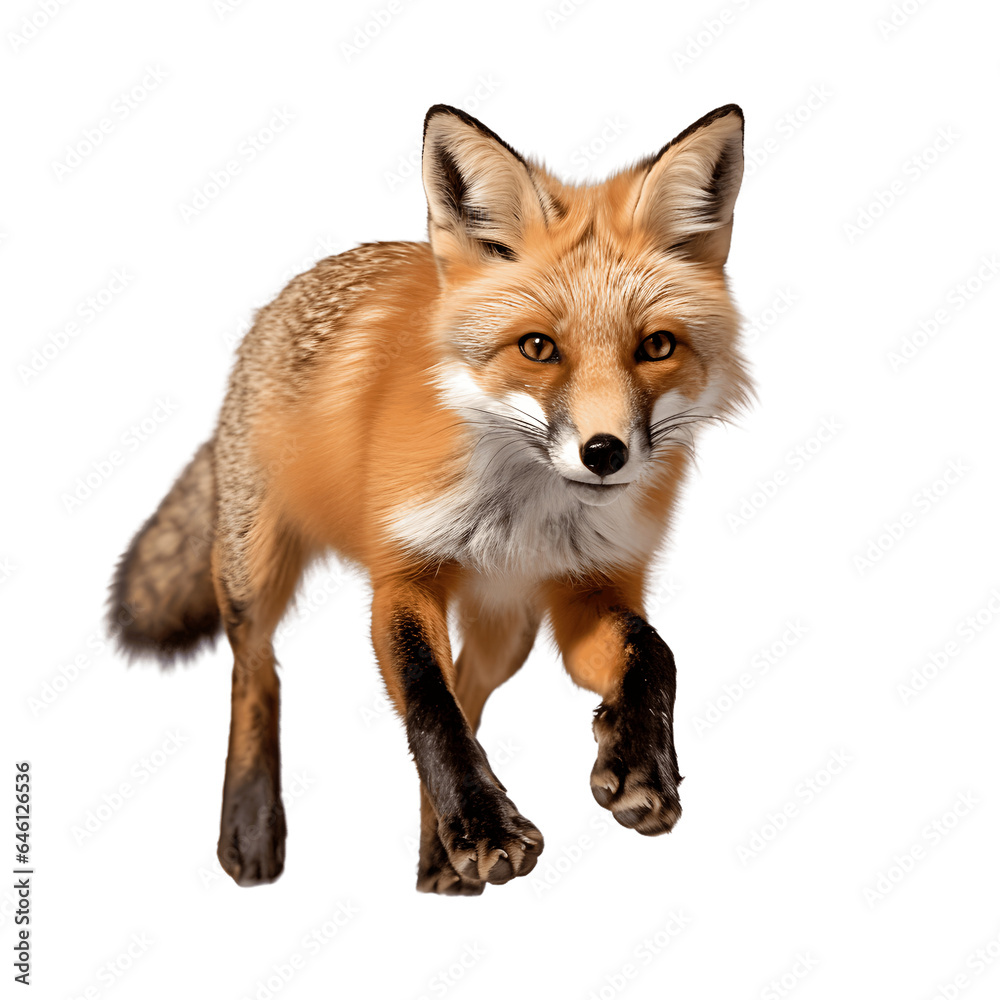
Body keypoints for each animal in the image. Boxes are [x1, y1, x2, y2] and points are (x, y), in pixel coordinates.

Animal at [108, 102, 751, 895]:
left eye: (656, 347)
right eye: (537, 348)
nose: (605, 454)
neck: (525, 513)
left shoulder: (588, 588)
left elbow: (652, 653)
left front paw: (637, 765)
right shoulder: (404, 574)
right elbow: (426, 701)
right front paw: (482, 824)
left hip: (507, 630)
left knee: (471, 689)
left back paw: (435, 853)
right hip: (252, 566)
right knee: (256, 671)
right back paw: (252, 827)